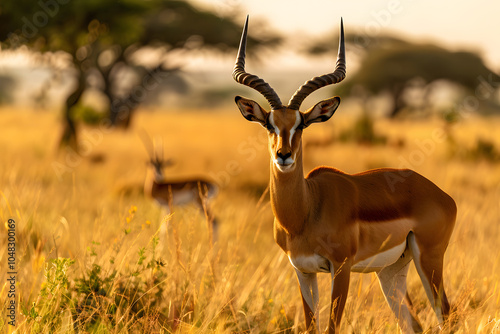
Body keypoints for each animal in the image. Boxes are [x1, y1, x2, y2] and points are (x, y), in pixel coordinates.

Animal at [232, 16, 456, 334]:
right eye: (269, 124)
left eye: (301, 124)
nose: (283, 155)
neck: (305, 212)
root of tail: (439, 193)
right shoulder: (303, 271)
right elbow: (311, 326)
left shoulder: (341, 268)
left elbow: (331, 327)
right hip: (391, 270)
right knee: (413, 324)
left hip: (429, 258)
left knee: (445, 313)